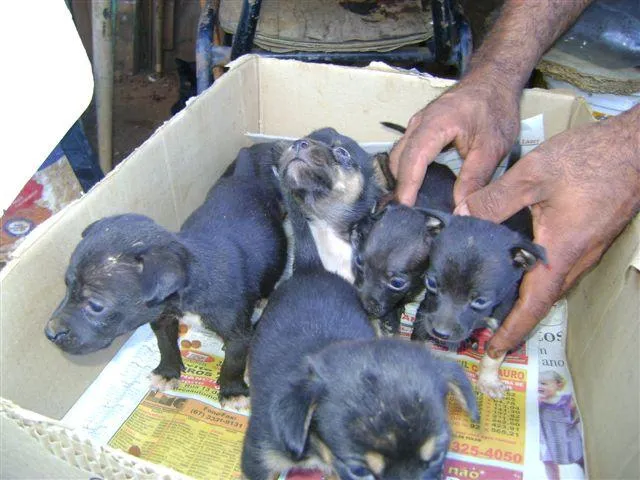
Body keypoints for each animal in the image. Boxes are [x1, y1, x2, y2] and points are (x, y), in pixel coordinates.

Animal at [412, 211, 548, 398]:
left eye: (481, 301)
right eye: (431, 283)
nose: (440, 333)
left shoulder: (507, 320)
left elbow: (495, 353)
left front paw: (488, 380)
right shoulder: (426, 309)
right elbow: (418, 335)